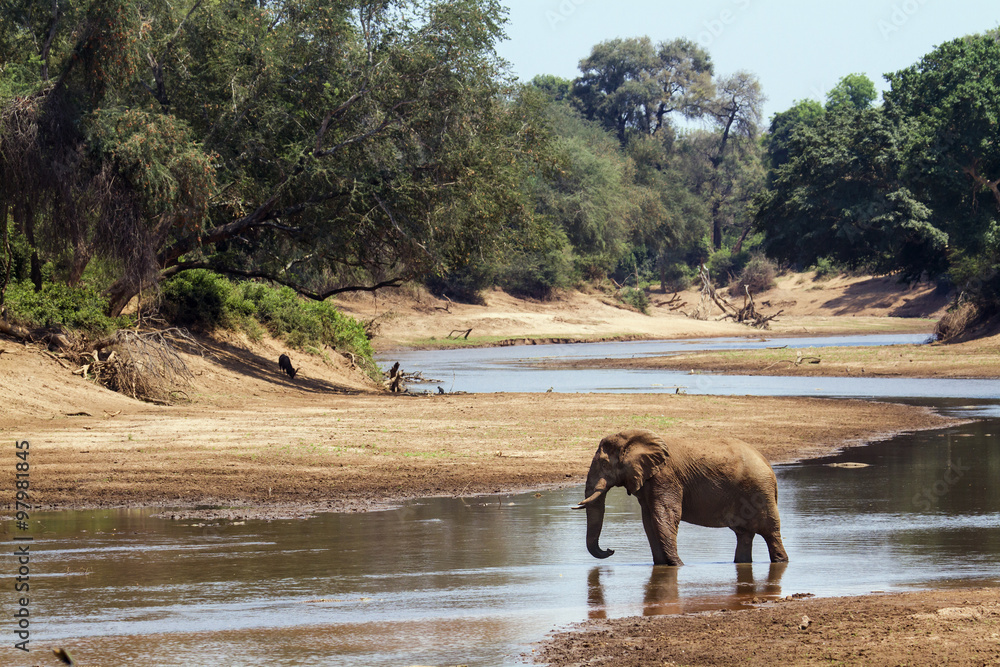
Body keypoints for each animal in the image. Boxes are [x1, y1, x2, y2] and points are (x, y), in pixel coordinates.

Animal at [574, 429, 788, 566]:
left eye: (603, 464)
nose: (610, 550)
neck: (631, 437)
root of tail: (768, 465)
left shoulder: (665, 477)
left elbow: (665, 515)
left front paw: (678, 565)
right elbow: (649, 521)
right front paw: (663, 565)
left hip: (759, 490)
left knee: (770, 532)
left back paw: (781, 562)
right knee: (744, 535)